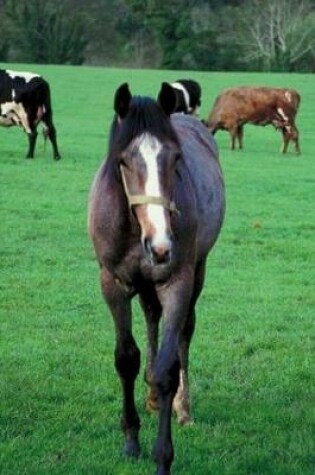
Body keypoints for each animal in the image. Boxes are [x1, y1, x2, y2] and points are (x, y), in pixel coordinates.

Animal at [89, 83, 226, 474]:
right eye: (123, 160)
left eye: (176, 159)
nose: (162, 245)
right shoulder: (114, 284)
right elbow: (126, 358)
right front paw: (131, 440)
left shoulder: (176, 282)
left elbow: (168, 366)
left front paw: (163, 457)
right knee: (151, 318)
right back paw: (149, 397)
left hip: (197, 270)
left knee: (183, 333)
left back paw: (183, 407)